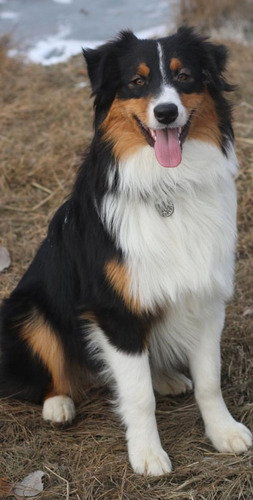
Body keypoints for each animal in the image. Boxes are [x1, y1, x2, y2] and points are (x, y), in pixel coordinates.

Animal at [0, 28, 252, 476]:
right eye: (137, 82)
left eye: (184, 76)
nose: (166, 112)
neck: (169, 187)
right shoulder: (113, 310)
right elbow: (137, 395)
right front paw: (148, 453)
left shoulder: (206, 297)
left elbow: (209, 380)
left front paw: (224, 432)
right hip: (26, 311)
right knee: (48, 372)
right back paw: (58, 404)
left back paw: (166, 377)